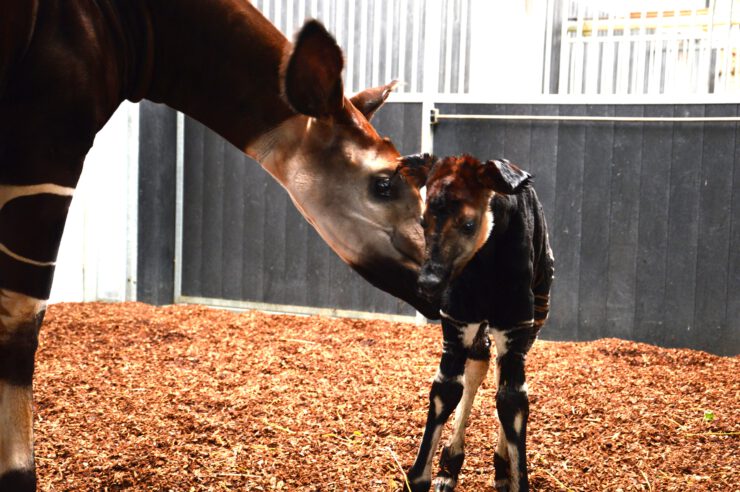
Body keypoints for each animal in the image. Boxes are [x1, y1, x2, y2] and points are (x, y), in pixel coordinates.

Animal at [396, 155, 552, 492]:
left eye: (468, 224)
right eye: (423, 222)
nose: (428, 283)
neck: (486, 263)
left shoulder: (516, 326)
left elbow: (512, 402)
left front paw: (515, 477)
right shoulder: (457, 322)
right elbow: (445, 390)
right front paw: (422, 477)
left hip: (538, 313)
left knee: (502, 383)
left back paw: (502, 469)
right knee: (478, 367)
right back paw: (449, 469)